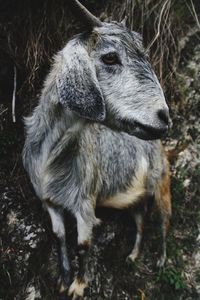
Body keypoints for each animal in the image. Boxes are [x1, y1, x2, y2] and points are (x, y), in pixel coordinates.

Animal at [22, 1, 172, 298]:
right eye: (110, 58)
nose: (163, 117)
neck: (51, 160)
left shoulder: (84, 203)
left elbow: (84, 245)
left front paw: (78, 286)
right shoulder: (49, 201)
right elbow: (59, 237)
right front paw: (63, 279)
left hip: (161, 187)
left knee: (163, 222)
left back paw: (160, 260)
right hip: (135, 199)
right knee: (140, 221)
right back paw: (133, 256)